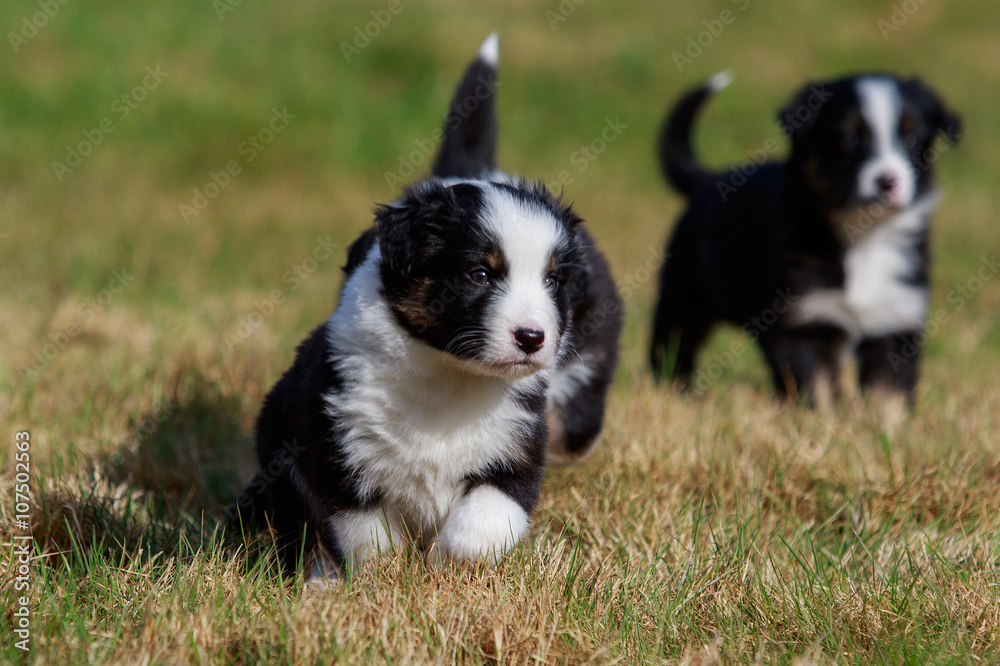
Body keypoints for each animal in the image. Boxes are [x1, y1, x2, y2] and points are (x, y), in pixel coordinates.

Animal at [234, 33, 620, 580]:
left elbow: (487, 519)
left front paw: (445, 562)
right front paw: (382, 578)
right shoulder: (331, 432)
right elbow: (364, 529)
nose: (531, 338)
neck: (449, 377)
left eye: (551, 280)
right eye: (479, 275)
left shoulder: (518, 441)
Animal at [648, 72, 960, 404]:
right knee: (672, 346)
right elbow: (813, 390)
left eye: (911, 139)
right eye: (850, 138)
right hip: (684, 296)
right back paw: (672, 391)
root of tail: (707, 179)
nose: (887, 181)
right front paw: (820, 417)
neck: (863, 238)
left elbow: (889, 396)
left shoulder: (896, 322)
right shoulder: (797, 323)